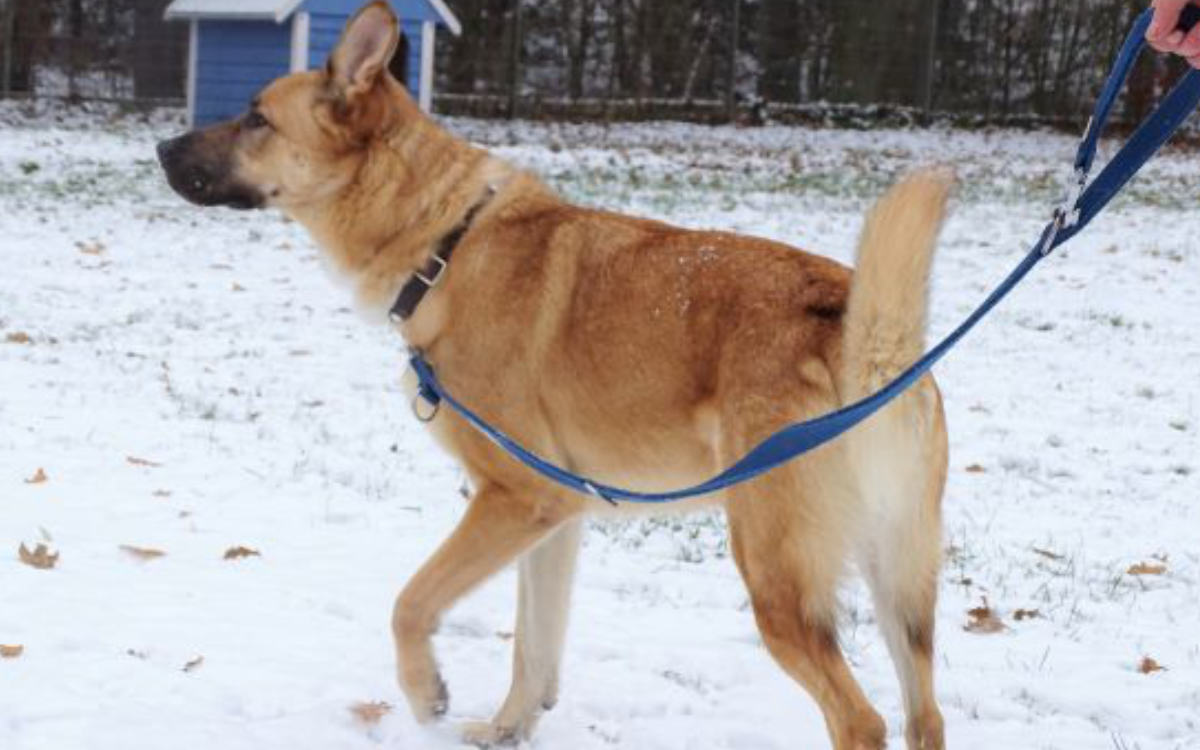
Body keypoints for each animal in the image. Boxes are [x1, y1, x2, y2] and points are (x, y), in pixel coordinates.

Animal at [152, 2, 955, 744]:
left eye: (257, 118)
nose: (159, 146)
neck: (446, 246)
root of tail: (862, 336)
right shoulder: (557, 516)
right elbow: (534, 649)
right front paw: (506, 729)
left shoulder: (515, 499)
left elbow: (411, 603)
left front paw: (427, 694)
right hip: (901, 590)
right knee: (925, 716)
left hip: (778, 581)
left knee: (861, 721)